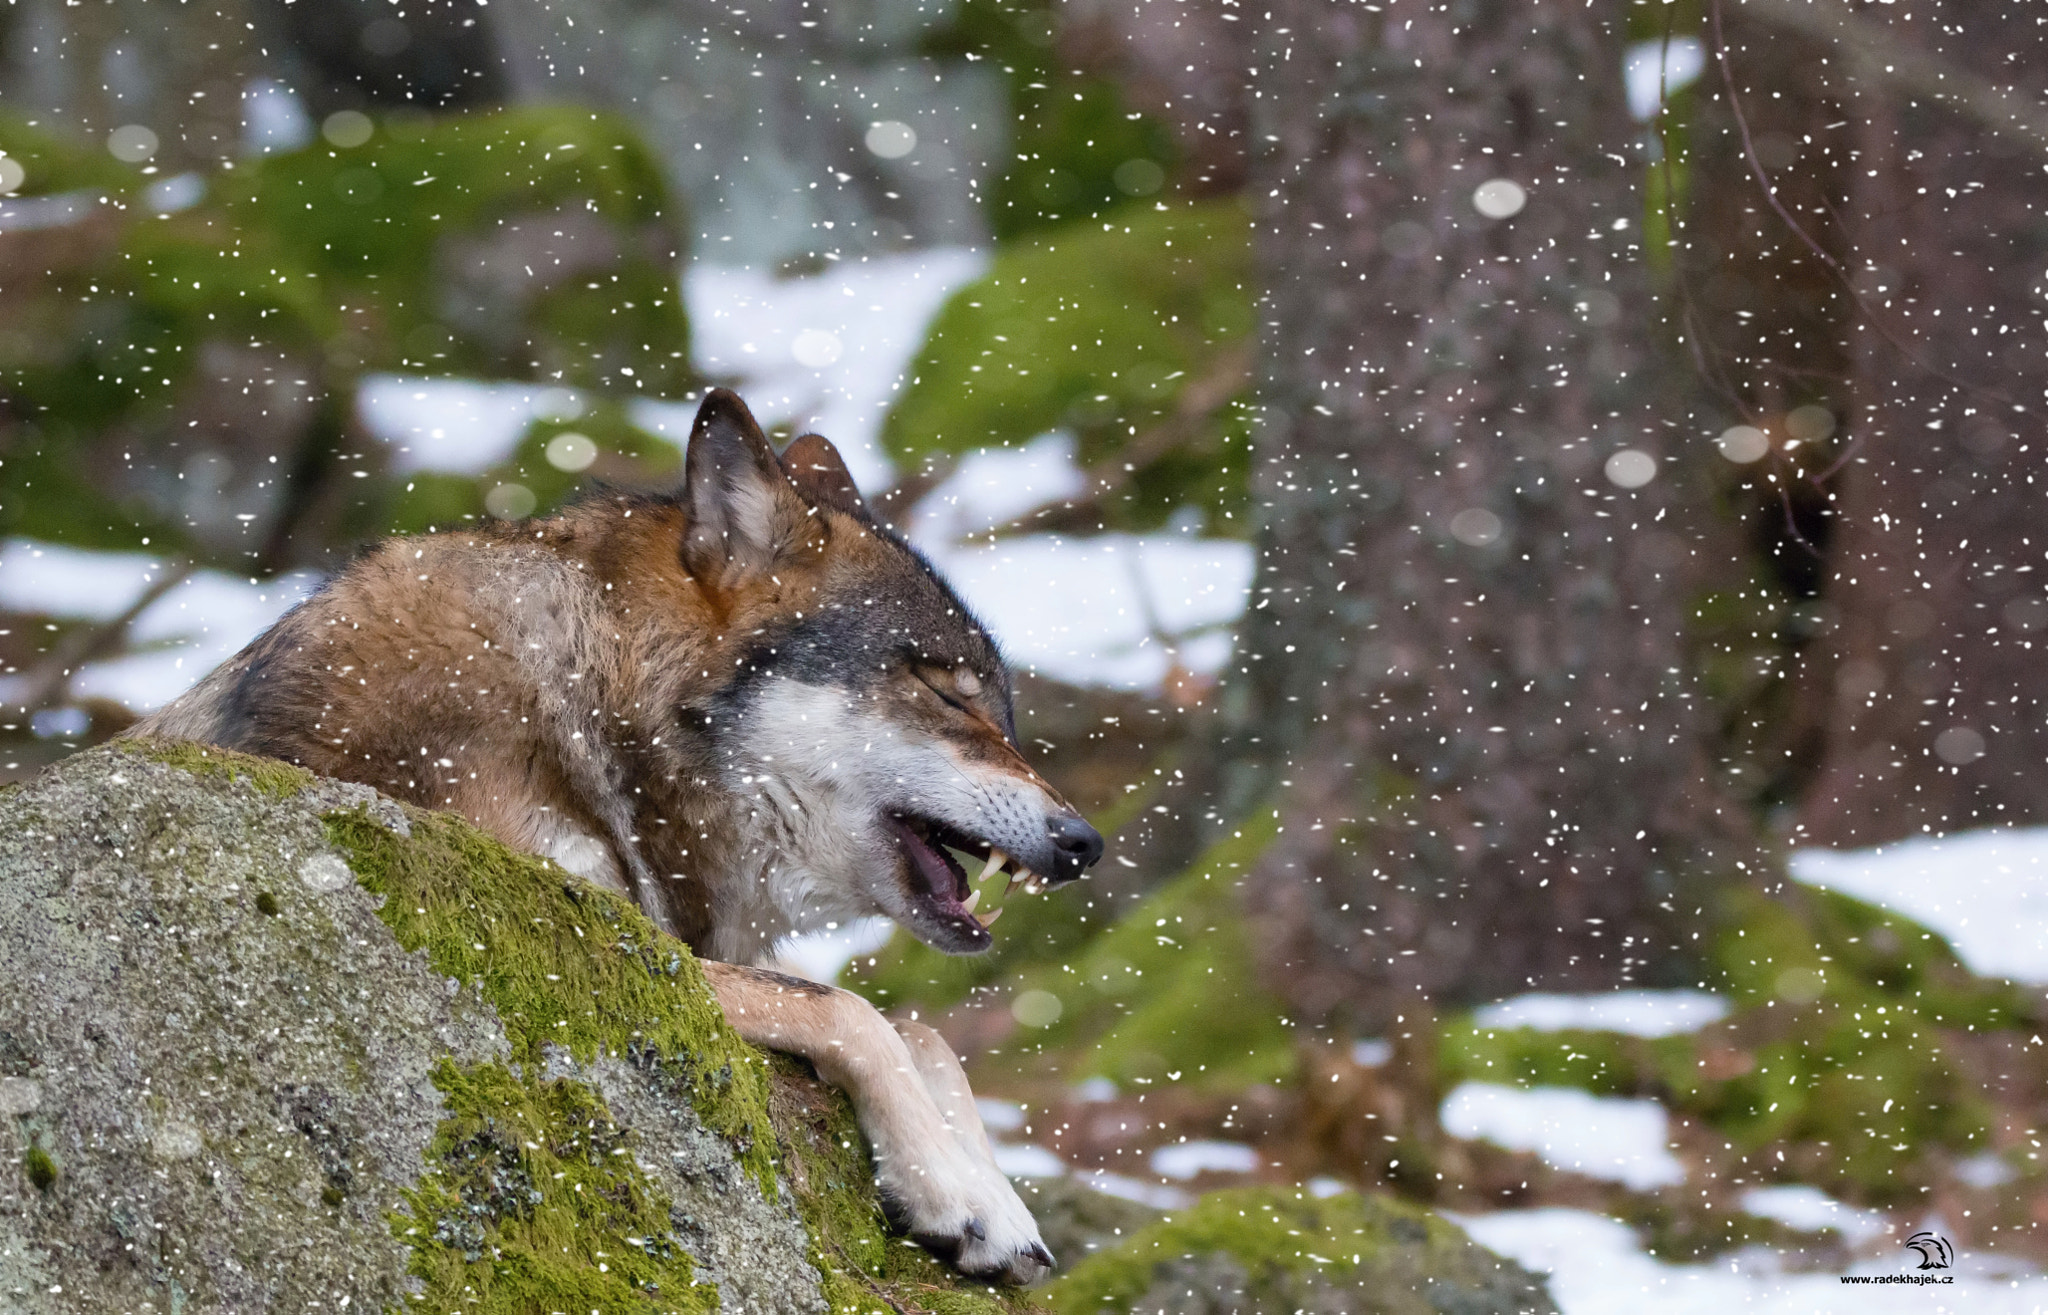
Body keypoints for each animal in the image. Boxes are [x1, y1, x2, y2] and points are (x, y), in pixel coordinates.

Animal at [131, 389, 1102, 1283]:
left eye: (1007, 713)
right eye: (945, 692)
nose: (1086, 840)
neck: (591, 701)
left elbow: (924, 1030)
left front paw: (992, 1195)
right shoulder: (559, 935)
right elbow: (855, 1010)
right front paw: (961, 1193)